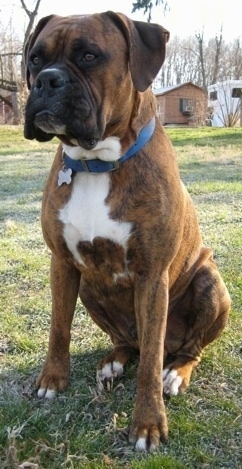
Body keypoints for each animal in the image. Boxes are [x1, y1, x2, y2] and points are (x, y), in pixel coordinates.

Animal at [24, 11, 231, 450]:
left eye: (89, 55)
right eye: (35, 59)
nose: (47, 80)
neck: (96, 163)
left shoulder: (152, 276)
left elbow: (150, 362)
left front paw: (148, 424)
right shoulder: (62, 263)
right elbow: (58, 327)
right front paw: (53, 379)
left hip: (211, 284)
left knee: (182, 350)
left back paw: (176, 373)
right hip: (89, 286)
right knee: (129, 343)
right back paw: (113, 362)